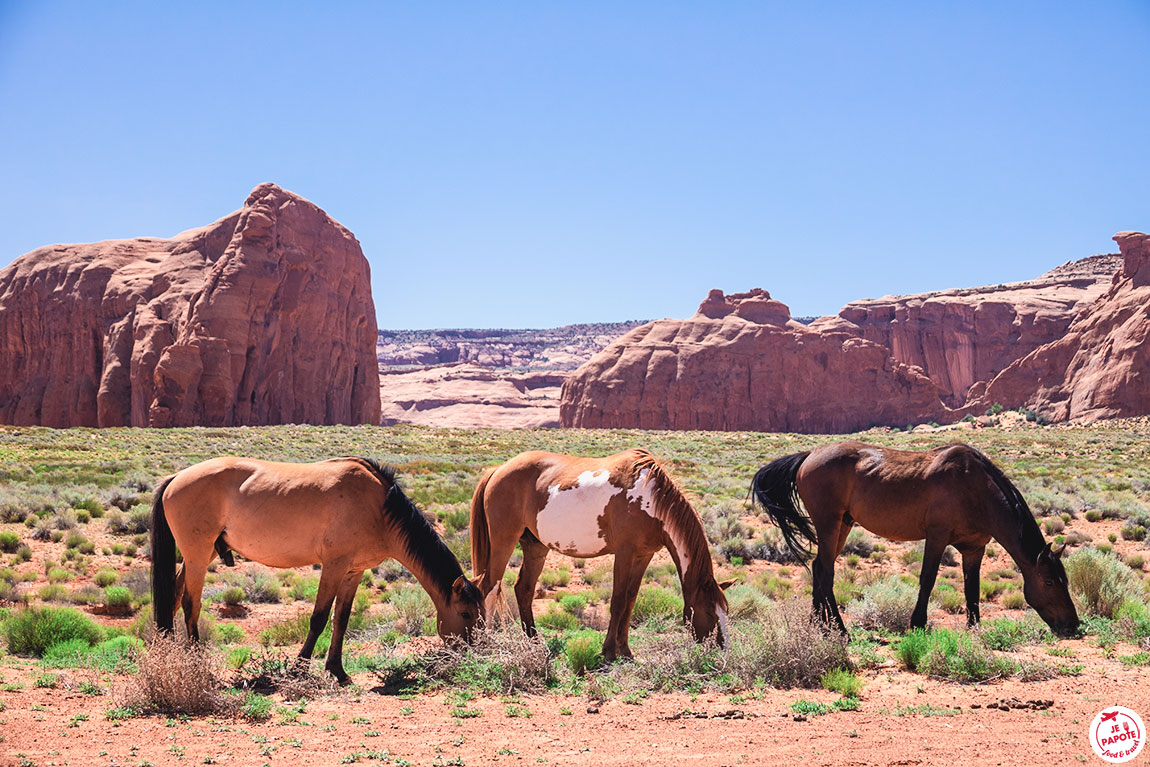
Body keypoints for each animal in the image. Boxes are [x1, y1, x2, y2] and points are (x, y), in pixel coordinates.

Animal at [150, 455, 483, 685]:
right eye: (466, 614)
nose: (473, 651)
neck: (378, 508)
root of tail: (177, 477)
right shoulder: (334, 566)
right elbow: (319, 617)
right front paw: (300, 667)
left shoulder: (353, 572)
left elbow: (342, 620)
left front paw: (338, 671)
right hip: (197, 554)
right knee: (191, 604)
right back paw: (196, 664)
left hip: (201, 555)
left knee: (174, 598)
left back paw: (166, 656)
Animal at [469, 450, 731, 662]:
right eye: (709, 610)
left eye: (725, 610)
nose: (723, 648)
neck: (650, 499)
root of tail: (497, 470)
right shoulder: (624, 553)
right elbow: (618, 601)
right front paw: (609, 652)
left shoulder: (643, 556)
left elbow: (630, 600)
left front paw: (625, 651)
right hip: (504, 542)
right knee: (489, 587)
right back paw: (487, 643)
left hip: (536, 547)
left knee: (523, 589)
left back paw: (534, 642)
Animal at [749, 441, 1081, 639]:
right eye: (1049, 582)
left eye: (1065, 581)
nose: (1073, 625)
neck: (976, 488)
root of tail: (808, 456)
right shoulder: (936, 537)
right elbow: (928, 579)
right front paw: (917, 623)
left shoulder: (974, 548)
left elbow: (972, 589)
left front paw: (974, 628)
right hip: (829, 524)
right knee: (826, 571)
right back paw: (840, 631)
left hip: (842, 525)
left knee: (820, 568)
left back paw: (819, 626)